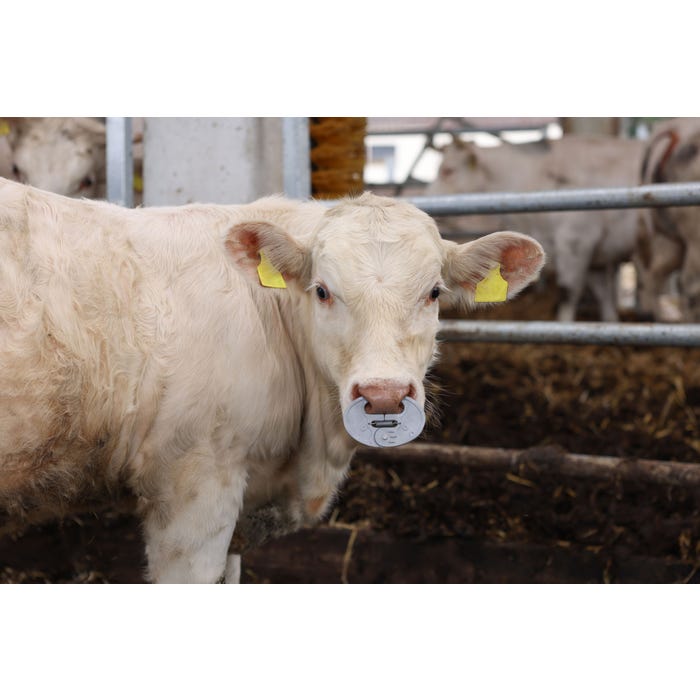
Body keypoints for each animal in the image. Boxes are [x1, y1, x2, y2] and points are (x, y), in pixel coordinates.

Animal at [425, 135, 646, 322]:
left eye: (448, 170)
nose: (427, 197)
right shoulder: (595, 256)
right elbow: (603, 294)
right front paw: (612, 322)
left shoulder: (576, 241)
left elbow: (567, 293)